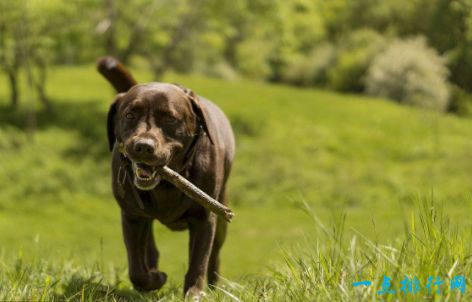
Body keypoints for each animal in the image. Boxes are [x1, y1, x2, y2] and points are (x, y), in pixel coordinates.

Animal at [97, 57, 234, 300]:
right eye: (130, 115)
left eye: (170, 118)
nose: (143, 146)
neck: (166, 185)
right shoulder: (131, 215)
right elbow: (136, 268)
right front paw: (155, 278)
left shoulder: (205, 217)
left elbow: (199, 260)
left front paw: (195, 293)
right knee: (149, 249)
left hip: (221, 215)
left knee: (214, 254)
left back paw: (213, 287)